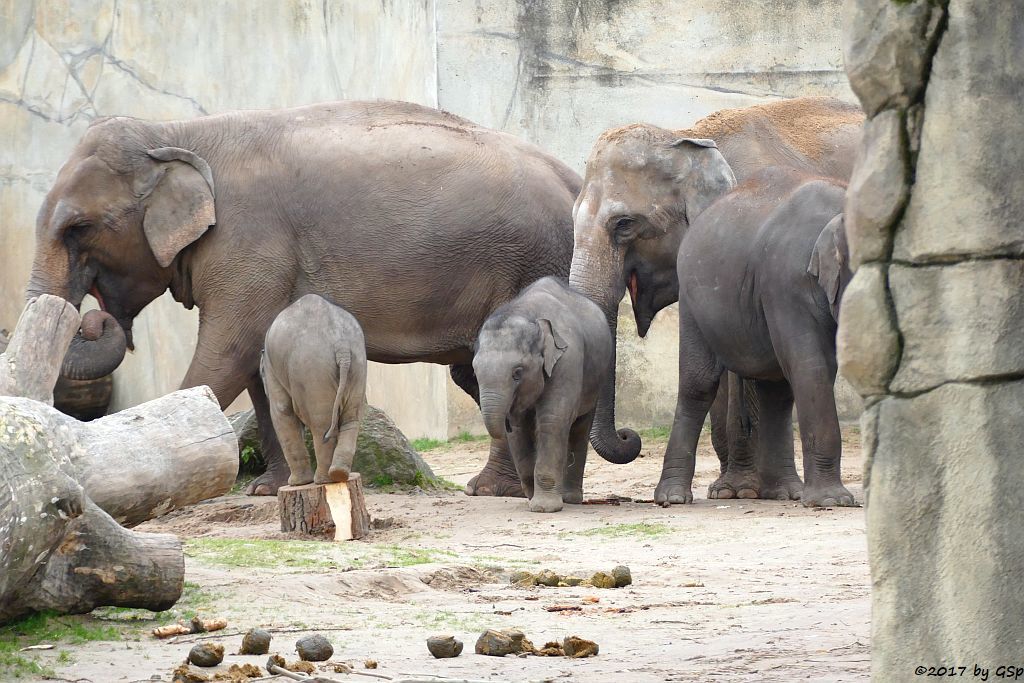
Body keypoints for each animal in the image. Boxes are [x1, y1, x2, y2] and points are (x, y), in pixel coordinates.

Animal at [260, 296, 368, 489]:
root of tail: (341, 345)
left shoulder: (273, 371)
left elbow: (282, 411)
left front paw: (296, 484)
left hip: (313, 369)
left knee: (321, 425)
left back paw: (323, 480)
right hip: (358, 365)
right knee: (351, 420)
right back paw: (339, 474)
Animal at [473, 276, 610, 511]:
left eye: (517, 373)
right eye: (474, 371)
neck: (527, 312)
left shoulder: (568, 359)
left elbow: (553, 419)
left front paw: (544, 508)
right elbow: (519, 430)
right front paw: (531, 497)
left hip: (594, 384)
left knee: (579, 429)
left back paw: (570, 498)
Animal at [667, 169, 851, 507]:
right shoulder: (787, 283)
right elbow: (812, 366)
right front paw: (832, 501)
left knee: (777, 391)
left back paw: (784, 493)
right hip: (691, 300)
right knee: (699, 384)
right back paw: (673, 497)